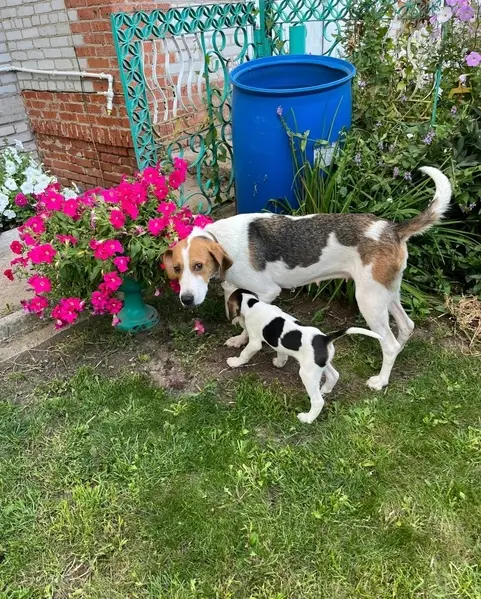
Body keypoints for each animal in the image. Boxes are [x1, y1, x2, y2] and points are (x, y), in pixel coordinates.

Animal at [163, 167, 451, 390]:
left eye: (199, 266)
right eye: (177, 268)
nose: (186, 299)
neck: (221, 240)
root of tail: (392, 229)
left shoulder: (266, 293)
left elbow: (248, 322)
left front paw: (248, 342)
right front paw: (239, 339)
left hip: (369, 299)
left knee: (389, 344)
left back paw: (380, 380)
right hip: (386, 292)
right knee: (406, 326)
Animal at [226, 289, 382, 423]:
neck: (252, 303)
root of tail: (325, 338)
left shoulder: (254, 342)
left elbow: (245, 353)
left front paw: (235, 362)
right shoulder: (279, 344)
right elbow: (281, 351)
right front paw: (279, 362)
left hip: (308, 373)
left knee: (317, 401)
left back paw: (308, 418)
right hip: (320, 365)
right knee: (334, 375)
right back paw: (325, 390)